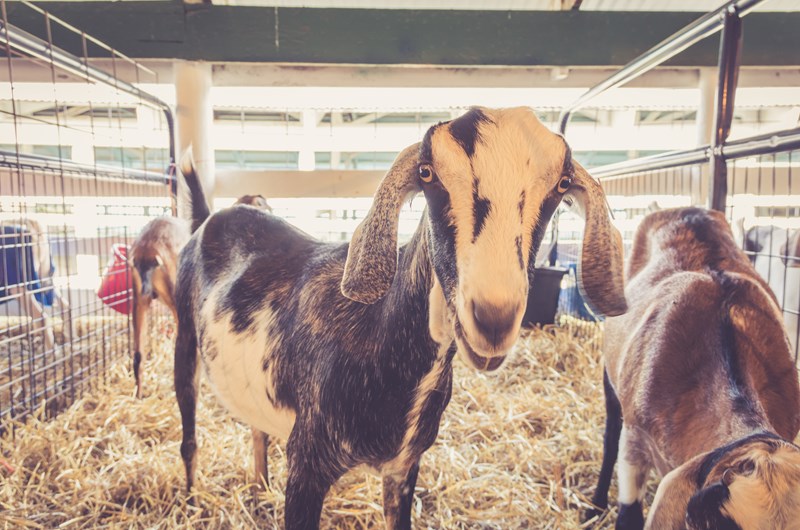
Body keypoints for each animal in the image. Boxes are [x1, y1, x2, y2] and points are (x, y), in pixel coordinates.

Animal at [178, 105, 628, 524]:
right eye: (427, 173)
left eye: (562, 183)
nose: (493, 317)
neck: (376, 333)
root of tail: (210, 217)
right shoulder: (306, 463)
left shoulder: (404, 466)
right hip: (185, 338)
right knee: (189, 436)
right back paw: (191, 503)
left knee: (257, 429)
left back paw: (259, 488)